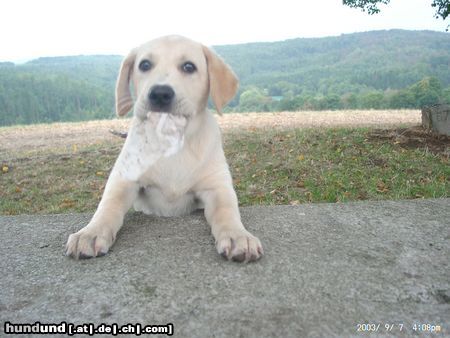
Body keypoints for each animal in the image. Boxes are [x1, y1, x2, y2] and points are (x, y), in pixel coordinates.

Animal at [67, 37, 264, 264]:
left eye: (189, 66)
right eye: (144, 65)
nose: (160, 93)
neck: (170, 140)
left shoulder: (217, 186)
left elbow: (227, 210)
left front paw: (238, 236)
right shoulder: (124, 180)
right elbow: (108, 206)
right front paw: (90, 233)